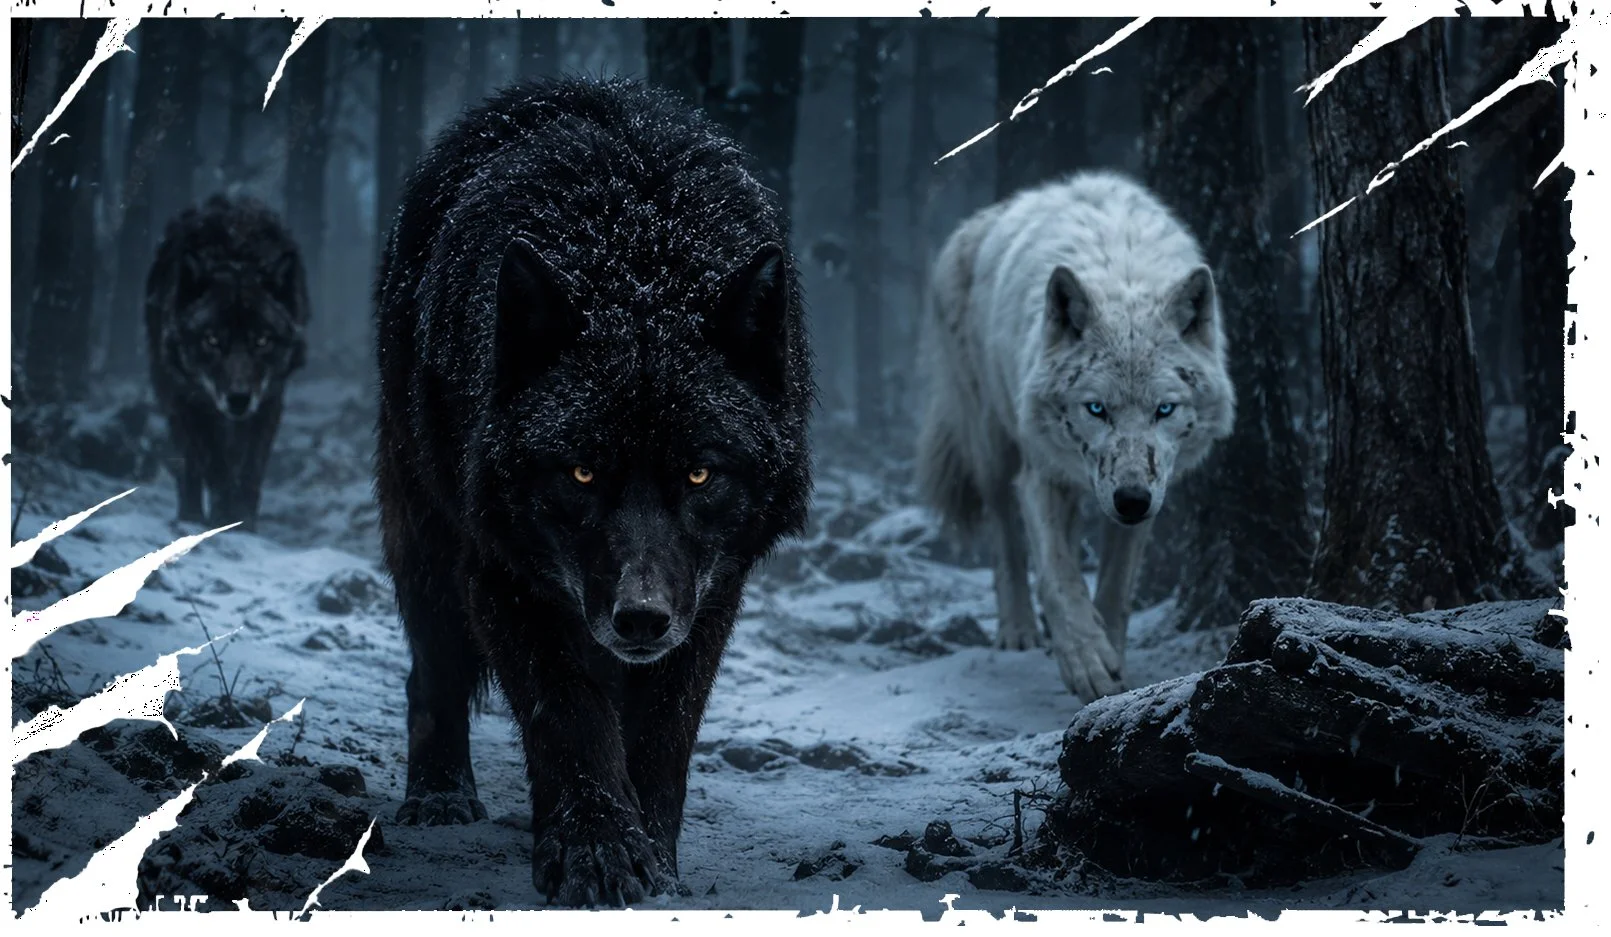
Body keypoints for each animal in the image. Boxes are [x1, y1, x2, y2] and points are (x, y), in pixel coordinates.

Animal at [144, 194, 310, 532]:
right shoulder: (189, 399)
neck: (237, 255)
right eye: (212, 340)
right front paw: (223, 517)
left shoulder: (269, 400)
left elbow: (250, 469)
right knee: (190, 462)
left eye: (262, 340)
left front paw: (245, 519)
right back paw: (191, 513)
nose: (238, 399)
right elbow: (213, 463)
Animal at [373, 77, 813, 907]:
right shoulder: (504, 572)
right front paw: (598, 852)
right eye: (580, 473)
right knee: (432, 669)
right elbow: (570, 717)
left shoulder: (709, 593)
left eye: (700, 474)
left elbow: (660, 737)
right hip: (427, 530)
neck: (636, 253)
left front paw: (657, 866)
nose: (638, 617)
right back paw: (440, 797)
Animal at [915, 170, 1235, 701]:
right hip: (991, 447)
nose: (1131, 500)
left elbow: (1116, 587)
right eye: (1096, 409)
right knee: (1006, 540)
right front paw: (1086, 660)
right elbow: (1058, 577)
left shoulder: (1150, 490)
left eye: (1164, 410)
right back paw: (1019, 631)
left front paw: (1111, 659)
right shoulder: (1040, 474)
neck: (1124, 278)